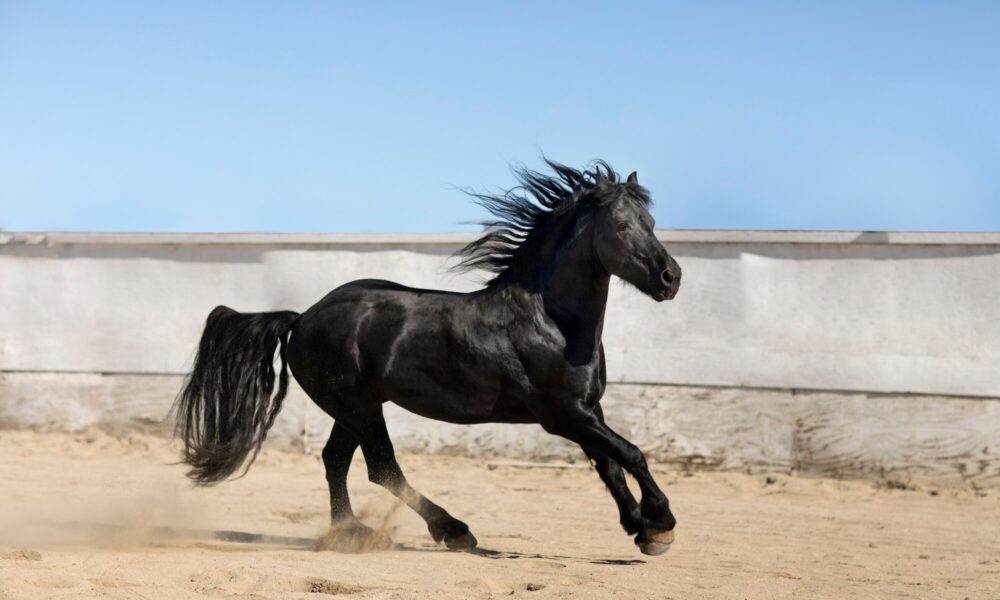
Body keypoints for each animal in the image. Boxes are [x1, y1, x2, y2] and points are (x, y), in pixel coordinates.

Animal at [176, 162, 684, 556]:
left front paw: (640, 529)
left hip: (353, 408)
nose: (671, 277)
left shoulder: (587, 410)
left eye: (652, 222)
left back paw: (349, 532)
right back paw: (452, 530)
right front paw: (660, 522)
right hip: (358, 405)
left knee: (335, 460)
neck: (550, 322)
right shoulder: (561, 415)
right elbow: (631, 453)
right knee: (381, 467)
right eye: (622, 226)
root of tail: (301, 319)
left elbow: (610, 464)